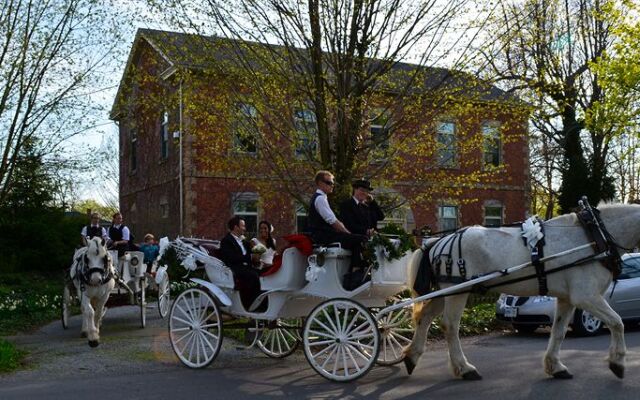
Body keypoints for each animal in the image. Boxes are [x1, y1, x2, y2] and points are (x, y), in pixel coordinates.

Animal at [404, 205, 640, 380]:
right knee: (450, 326)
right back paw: (464, 368)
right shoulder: (586, 296)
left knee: (424, 317)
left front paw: (555, 366)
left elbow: (559, 331)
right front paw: (617, 362)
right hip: (457, 291)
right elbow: (617, 322)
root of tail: (436, 241)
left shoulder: (567, 298)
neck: (593, 236)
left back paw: (411, 357)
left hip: (444, 292)